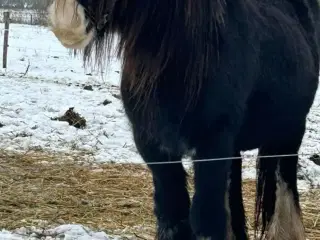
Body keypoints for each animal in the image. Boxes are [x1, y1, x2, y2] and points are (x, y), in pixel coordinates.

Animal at [47, 0, 320, 238]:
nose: (67, 22)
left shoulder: (212, 144)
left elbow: (206, 220)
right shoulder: (153, 147)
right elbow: (173, 217)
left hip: (288, 134)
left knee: (284, 193)